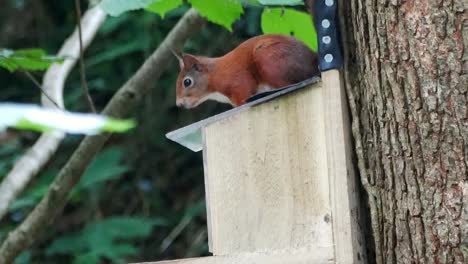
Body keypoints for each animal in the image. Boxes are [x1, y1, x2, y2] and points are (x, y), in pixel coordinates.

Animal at [175, 34, 318, 108]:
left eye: (187, 82)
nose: (179, 104)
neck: (214, 75)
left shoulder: (238, 81)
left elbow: (245, 89)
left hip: (270, 59)